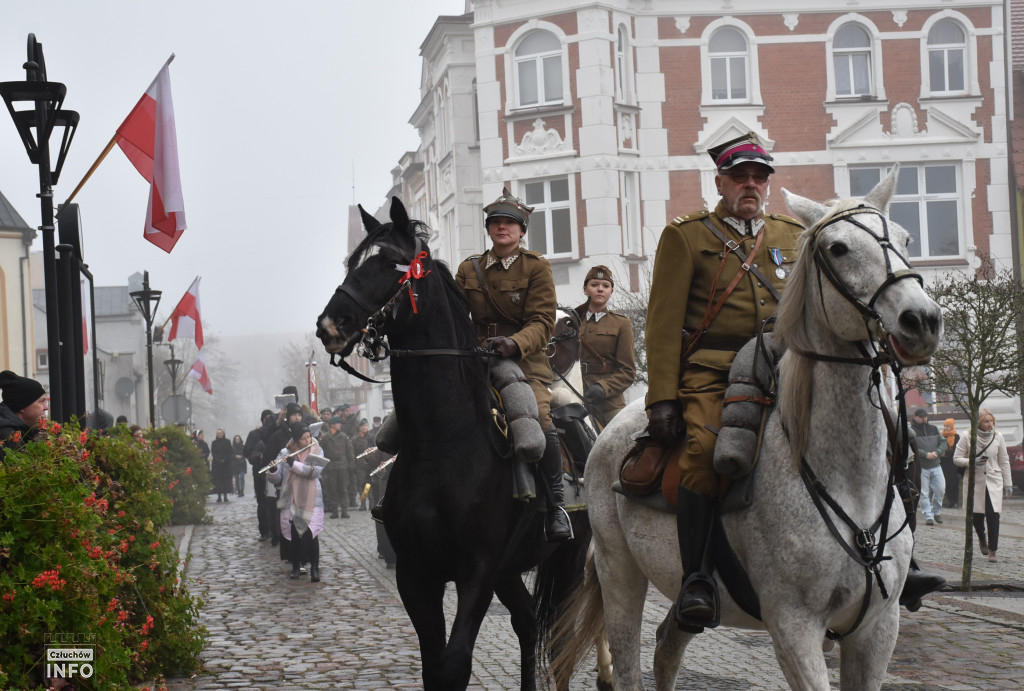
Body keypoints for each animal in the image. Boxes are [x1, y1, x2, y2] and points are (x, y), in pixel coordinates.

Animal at [317, 197, 593, 687]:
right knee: (527, 624)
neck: (441, 443)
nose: (331, 324)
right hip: (510, 569)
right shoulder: (417, 575)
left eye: (390, 263)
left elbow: (454, 664)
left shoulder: (476, 570)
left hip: (570, 559)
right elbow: (432, 665)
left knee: (560, 640)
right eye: (353, 263)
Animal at [552, 168, 942, 691]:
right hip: (620, 574)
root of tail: (611, 427)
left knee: (666, 647)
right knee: (630, 658)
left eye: (905, 239)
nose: (922, 320)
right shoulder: (794, 627)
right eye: (838, 248)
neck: (846, 482)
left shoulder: (878, 629)